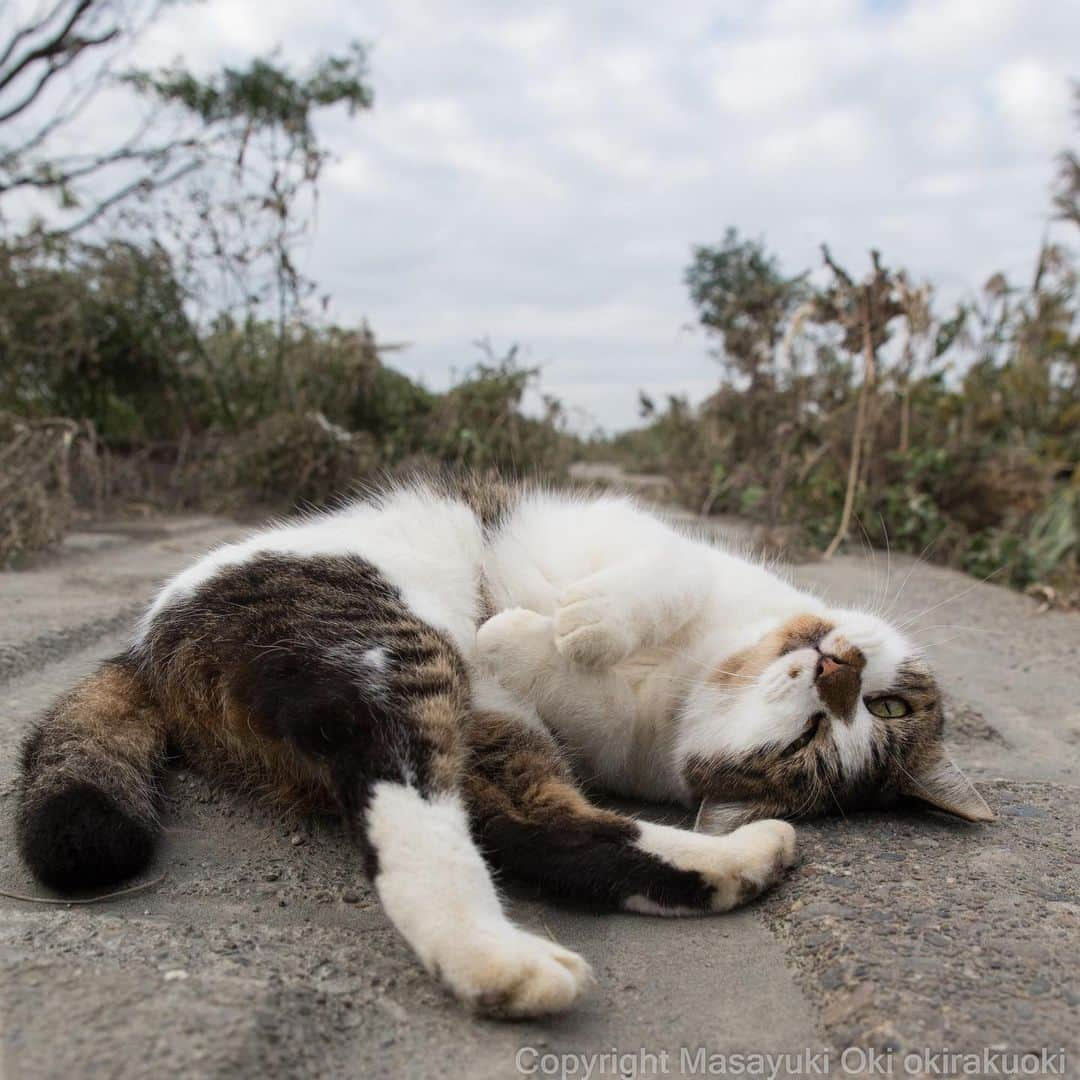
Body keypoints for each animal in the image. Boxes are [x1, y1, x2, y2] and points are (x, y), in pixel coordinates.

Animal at [16, 477, 993, 1015]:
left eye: (816, 739)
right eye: (881, 705)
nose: (837, 665)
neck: (697, 671)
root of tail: (144, 650)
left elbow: (527, 652)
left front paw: (527, 634)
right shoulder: (652, 548)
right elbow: (659, 577)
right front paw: (576, 622)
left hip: (403, 665)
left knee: (487, 829)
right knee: (528, 825)